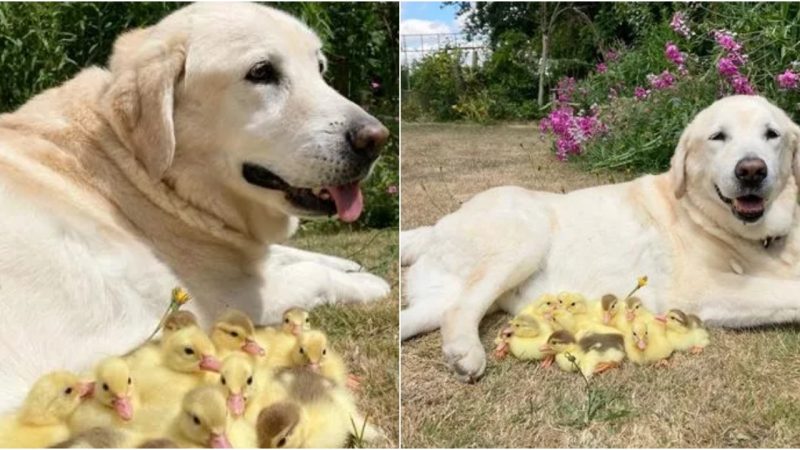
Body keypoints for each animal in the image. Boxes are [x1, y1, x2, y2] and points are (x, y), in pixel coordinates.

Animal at [0, 1, 390, 414]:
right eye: (261, 72)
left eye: (319, 68)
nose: (377, 140)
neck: (130, 161)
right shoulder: (234, 298)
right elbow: (310, 273)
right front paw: (368, 282)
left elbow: (292, 253)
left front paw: (350, 264)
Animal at [404, 96, 800, 384]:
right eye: (718, 137)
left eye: (772, 134)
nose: (752, 171)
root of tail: (437, 226)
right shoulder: (702, 289)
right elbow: (788, 292)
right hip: (526, 237)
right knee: (459, 310)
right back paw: (465, 353)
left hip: (436, 298)